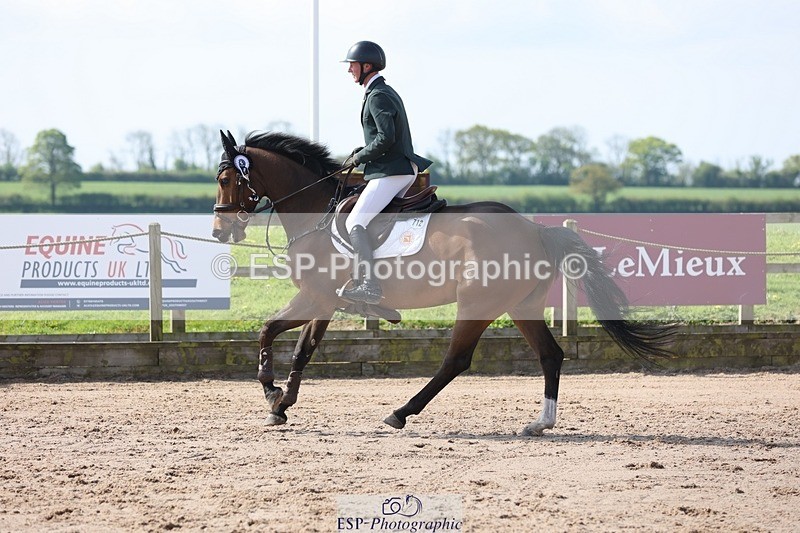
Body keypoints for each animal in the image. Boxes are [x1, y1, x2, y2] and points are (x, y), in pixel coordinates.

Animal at [211, 130, 672, 436]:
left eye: (225, 180)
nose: (219, 231)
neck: (316, 211)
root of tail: (535, 230)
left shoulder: (317, 297)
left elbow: (279, 336)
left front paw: (272, 394)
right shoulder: (322, 300)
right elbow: (292, 344)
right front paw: (281, 402)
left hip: (476, 304)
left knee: (457, 361)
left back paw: (401, 412)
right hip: (520, 305)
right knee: (550, 355)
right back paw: (540, 423)